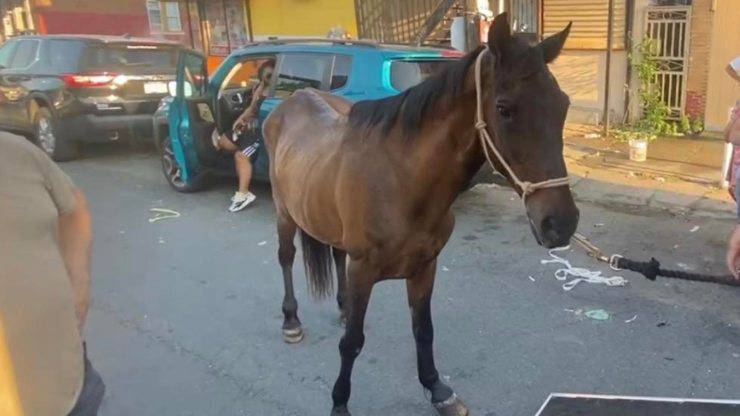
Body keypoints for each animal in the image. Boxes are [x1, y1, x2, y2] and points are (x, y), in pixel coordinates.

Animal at [263, 13, 579, 416]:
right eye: (504, 108)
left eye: (563, 105)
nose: (561, 223)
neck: (402, 181)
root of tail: (294, 98)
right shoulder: (363, 270)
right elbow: (352, 343)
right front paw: (340, 402)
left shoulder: (424, 267)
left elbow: (423, 330)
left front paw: (437, 389)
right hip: (284, 213)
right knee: (286, 257)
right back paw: (290, 320)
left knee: (334, 254)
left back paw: (343, 309)